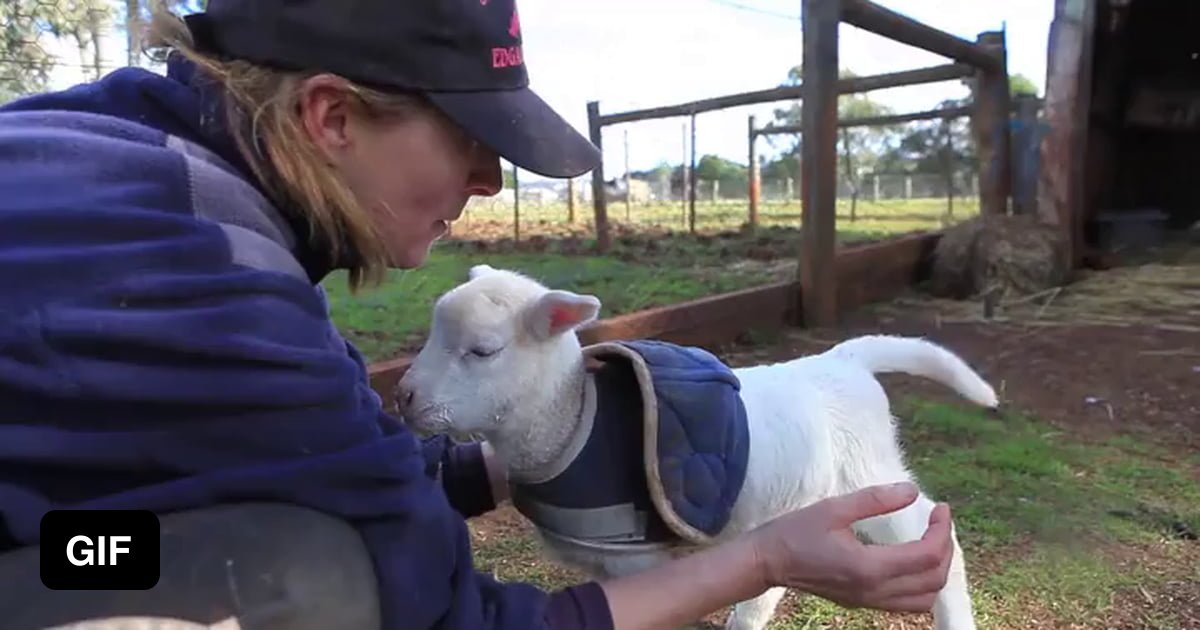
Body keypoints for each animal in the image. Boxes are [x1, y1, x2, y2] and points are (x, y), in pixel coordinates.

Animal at [396, 264, 998, 630]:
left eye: (483, 351)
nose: (403, 398)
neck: (569, 422)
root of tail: (844, 359)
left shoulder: (638, 558)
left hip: (872, 475)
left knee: (935, 531)